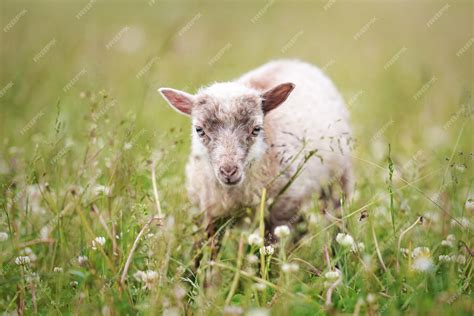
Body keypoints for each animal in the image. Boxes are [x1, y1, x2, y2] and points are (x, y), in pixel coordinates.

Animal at [159, 59, 352, 241]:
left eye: (256, 129)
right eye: (199, 130)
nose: (228, 171)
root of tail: (294, 61)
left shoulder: (284, 210)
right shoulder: (208, 214)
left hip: (338, 180)